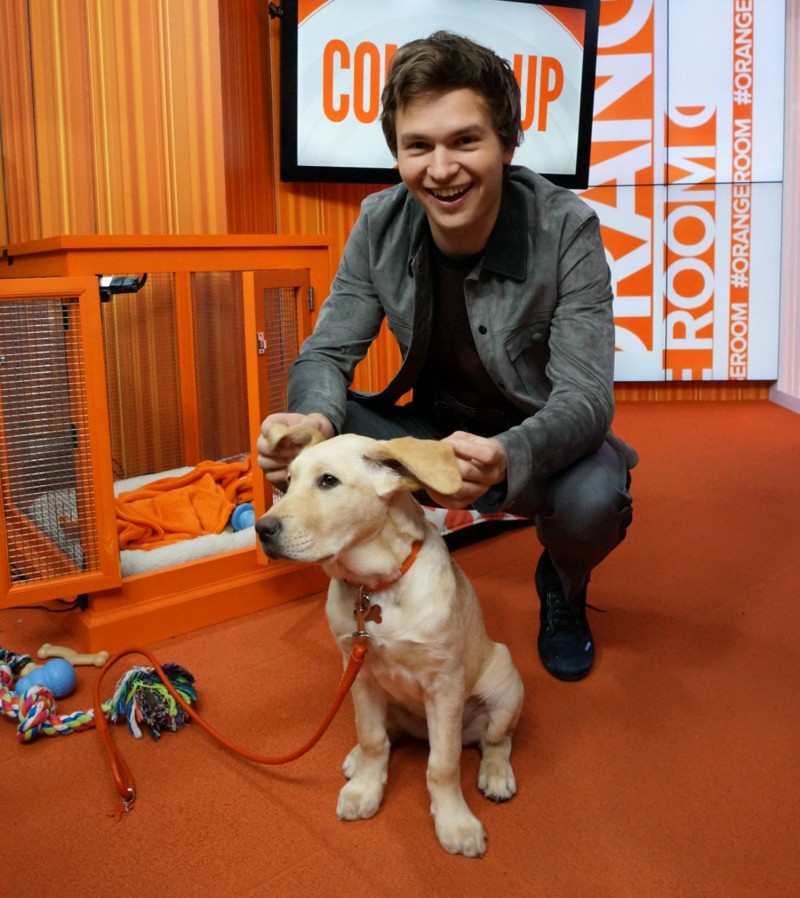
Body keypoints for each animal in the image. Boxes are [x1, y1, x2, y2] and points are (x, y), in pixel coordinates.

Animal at [253, 424, 520, 856]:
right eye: (288, 481)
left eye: (328, 481)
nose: (262, 530)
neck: (374, 588)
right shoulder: (359, 674)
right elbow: (373, 738)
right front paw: (365, 788)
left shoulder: (444, 686)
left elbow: (443, 765)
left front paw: (455, 823)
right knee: (386, 734)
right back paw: (356, 759)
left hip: (504, 684)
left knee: (498, 740)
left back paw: (496, 774)